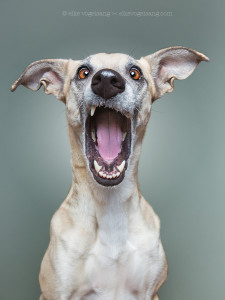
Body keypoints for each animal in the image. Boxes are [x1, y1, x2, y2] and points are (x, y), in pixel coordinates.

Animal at [11, 47, 209, 300]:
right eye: (83, 72)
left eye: (135, 73)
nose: (106, 80)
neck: (110, 205)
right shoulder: (56, 293)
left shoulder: (149, 291)